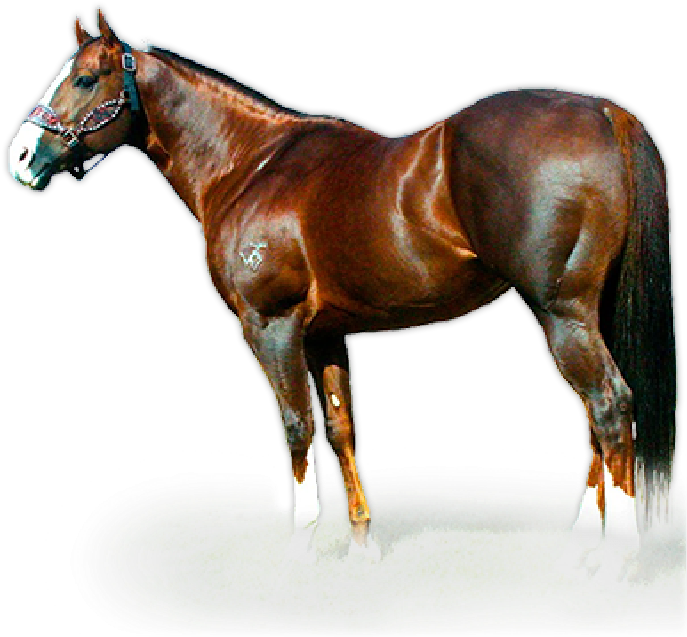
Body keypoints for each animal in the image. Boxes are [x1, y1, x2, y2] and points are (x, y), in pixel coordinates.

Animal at [9, 9, 677, 585]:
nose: (21, 156)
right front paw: (361, 543)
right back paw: (578, 552)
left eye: (86, 78)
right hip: (587, 314)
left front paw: (302, 545)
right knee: (597, 421)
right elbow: (340, 428)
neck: (251, 165)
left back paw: (616, 560)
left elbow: (296, 426)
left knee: (609, 407)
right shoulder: (328, 334)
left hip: (561, 313)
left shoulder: (271, 327)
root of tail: (603, 111)